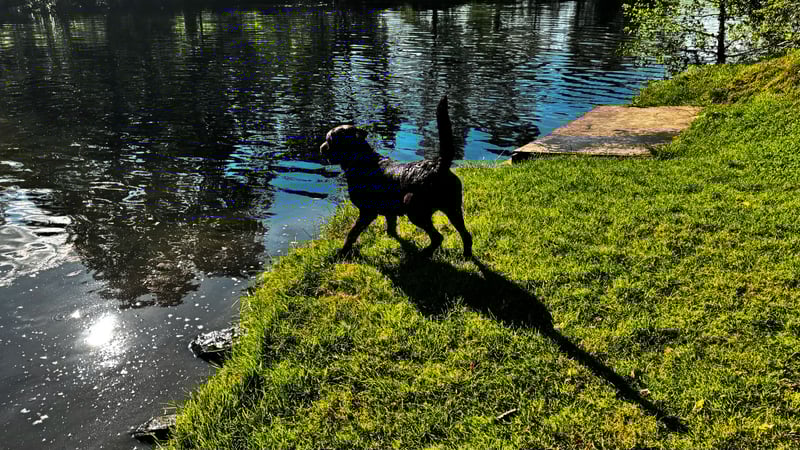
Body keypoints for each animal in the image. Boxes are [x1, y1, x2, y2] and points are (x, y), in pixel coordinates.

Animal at [319, 96, 472, 259]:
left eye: (329, 140)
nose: (321, 148)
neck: (362, 161)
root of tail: (438, 164)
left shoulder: (367, 212)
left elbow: (352, 233)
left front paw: (342, 252)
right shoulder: (389, 210)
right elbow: (391, 226)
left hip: (414, 208)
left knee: (438, 237)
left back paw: (423, 254)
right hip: (453, 209)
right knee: (466, 234)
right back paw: (466, 255)